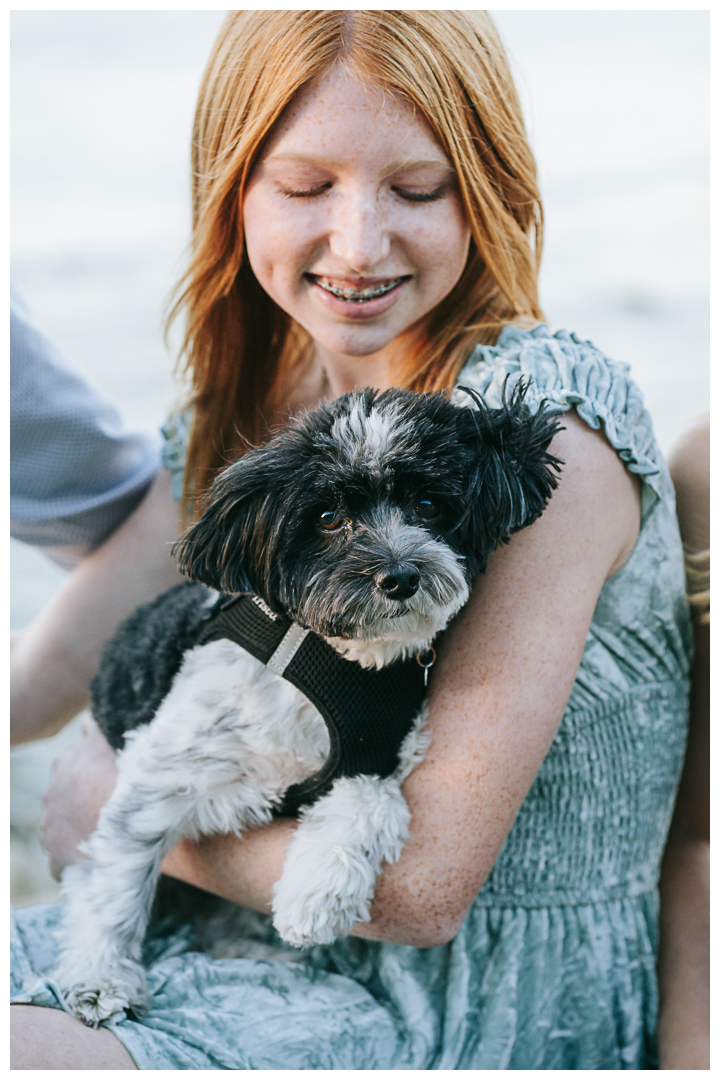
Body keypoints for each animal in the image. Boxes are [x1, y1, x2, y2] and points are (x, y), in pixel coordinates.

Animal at [55, 384, 561, 1023]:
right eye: (327, 518)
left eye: (427, 504)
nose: (399, 575)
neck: (338, 659)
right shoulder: (164, 771)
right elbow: (118, 878)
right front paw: (100, 979)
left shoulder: (379, 752)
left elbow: (372, 800)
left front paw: (316, 895)